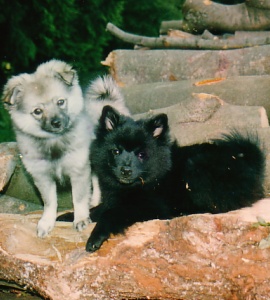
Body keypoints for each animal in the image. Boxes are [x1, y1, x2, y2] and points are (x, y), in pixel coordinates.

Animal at [57, 105, 266, 251]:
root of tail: (247, 159)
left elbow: (110, 214)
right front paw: (72, 217)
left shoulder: (149, 206)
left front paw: (96, 236)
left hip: (195, 167)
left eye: (141, 154)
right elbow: (98, 209)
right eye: (116, 151)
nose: (126, 169)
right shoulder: (114, 199)